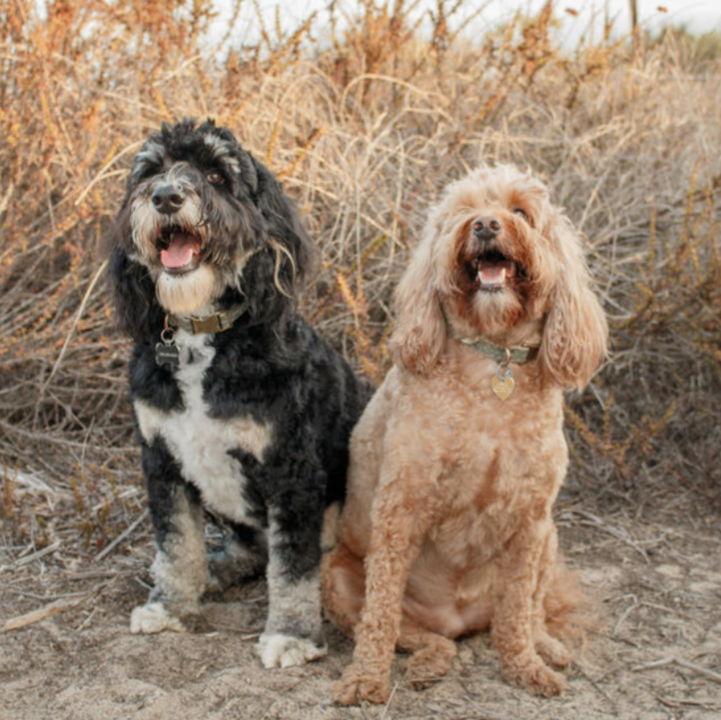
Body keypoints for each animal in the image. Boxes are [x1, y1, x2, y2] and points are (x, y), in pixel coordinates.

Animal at [108, 118, 370, 668]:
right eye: (152, 171)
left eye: (216, 174)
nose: (165, 197)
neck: (202, 335)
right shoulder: (161, 460)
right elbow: (177, 542)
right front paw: (170, 604)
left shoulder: (292, 469)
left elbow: (293, 567)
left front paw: (291, 634)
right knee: (248, 550)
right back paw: (218, 568)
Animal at [322, 164, 608, 703]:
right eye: (463, 212)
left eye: (520, 211)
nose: (486, 225)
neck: (491, 364)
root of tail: (457, 620)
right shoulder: (400, 509)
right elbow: (380, 615)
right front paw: (366, 678)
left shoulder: (531, 517)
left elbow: (517, 611)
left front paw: (525, 668)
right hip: (338, 578)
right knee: (412, 633)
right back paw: (429, 661)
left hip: (549, 539)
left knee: (527, 610)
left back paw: (545, 647)